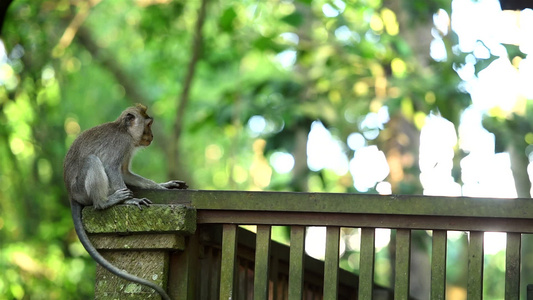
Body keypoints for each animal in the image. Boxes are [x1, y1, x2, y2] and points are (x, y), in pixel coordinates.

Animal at [64, 103, 186, 300]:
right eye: (148, 125)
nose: (152, 136)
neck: (124, 130)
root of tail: (70, 194)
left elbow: (124, 173)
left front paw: (163, 186)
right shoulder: (122, 144)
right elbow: (112, 168)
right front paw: (130, 201)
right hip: (80, 189)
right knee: (92, 161)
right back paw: (105, 202)